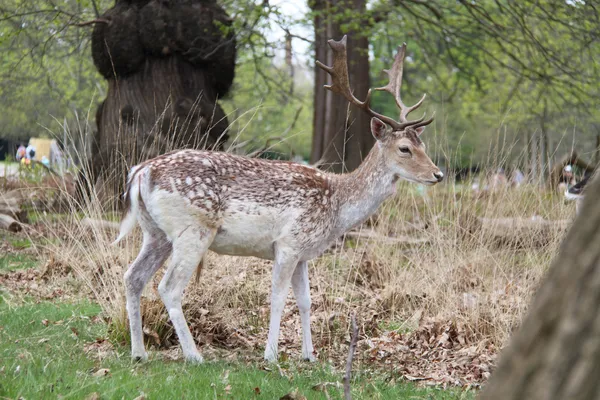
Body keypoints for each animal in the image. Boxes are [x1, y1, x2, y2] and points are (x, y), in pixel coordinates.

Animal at [112, 36, 442, 364]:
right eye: (404, 148)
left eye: (423, 145)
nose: (438, 174)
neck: (337, 209)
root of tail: (141, 172)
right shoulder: (288, 243)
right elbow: (278, 298)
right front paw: (271, 355)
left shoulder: (304, 254)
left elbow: (306, 301)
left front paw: (309, 355)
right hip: (193, 230)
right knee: (168, 287)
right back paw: (194, 356)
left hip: (156, 232)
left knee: (133, 277)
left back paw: (139, 352)